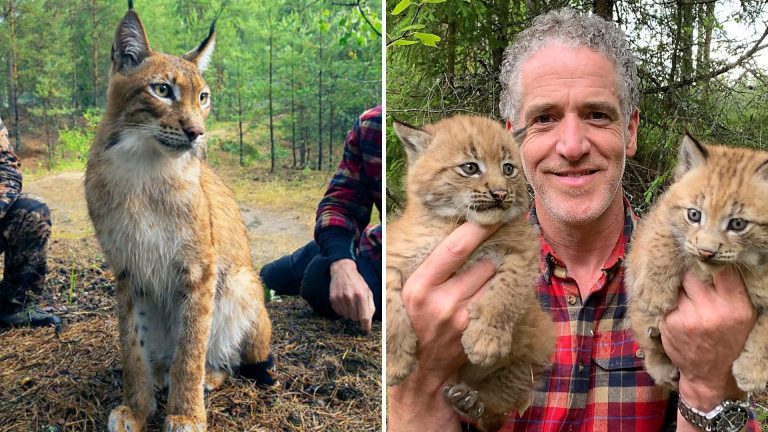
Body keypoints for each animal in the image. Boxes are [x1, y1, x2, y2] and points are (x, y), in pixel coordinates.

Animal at [388, 115, 556, 432]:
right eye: (470, 168)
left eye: (508, 168)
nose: (501, 193)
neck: (454, 223)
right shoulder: (396, 256)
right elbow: (390, 306)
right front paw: (396, 361)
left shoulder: (524, 253)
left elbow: (506, 293)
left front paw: (485, 340)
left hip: (535, 348)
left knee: (498, 407)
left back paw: (472, 400)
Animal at [628, 134, 768, 392]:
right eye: (694, 215)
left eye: (738, 224)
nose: (706, 252)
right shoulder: (663, 210)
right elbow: (664, 237)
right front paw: (655, 294)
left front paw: (752, 372)